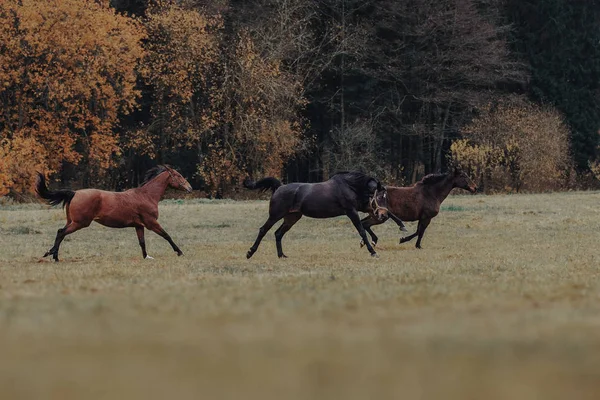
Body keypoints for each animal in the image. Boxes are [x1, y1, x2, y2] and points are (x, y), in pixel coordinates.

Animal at [35, 164, 193, 260]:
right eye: (178, 175)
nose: (190, 188)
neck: (146, 195)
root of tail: (74, 193)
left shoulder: (139, 225)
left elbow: (142, 242)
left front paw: (146, 257)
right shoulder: (151, 223)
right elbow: (167, 235)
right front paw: (179, 252)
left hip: (72, 221)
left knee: (60, 232)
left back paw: (51, 253)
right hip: (80, 223)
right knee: (61, 232)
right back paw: (54, 256)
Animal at [245, 172, 394, 260]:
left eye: (385, 197)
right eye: (379, 197)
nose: (383, 214)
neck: (350, 187)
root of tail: (279, 187)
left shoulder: (364, 207)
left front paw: (373, 241)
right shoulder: (351, 211)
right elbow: (362, 230)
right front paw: (372, 251)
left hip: (292, 218)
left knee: (278, 233)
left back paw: (281, 255)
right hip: (275, 215)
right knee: (263, 230)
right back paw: (250, 252)